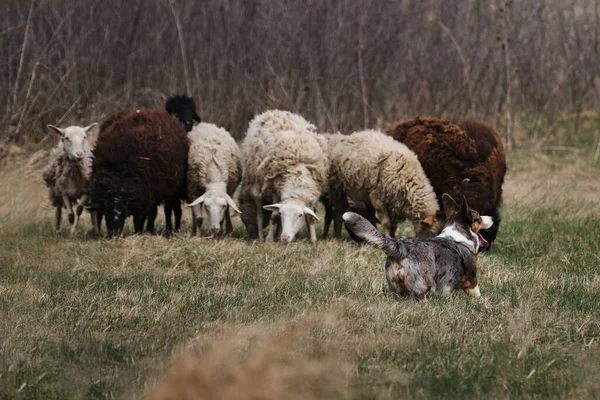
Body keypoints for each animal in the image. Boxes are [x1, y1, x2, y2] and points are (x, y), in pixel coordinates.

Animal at [239, 108, 326, 244]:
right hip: (256, 189)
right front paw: (269, 239)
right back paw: (262, 237)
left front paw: (313, 240)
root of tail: (274, 111)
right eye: (282, 214)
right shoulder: (274, 189)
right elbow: (274, 216)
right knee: (259, 214)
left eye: (300, 215)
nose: (285, 238)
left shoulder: (312, 192)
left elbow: (311, 217)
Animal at [342, 192, 492, 298]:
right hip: (424, 284)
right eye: (478, 217)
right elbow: (477, 293)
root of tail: (399, 247)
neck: (459, 234)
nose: (492, 218)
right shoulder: (472, 279)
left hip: (394, 287)